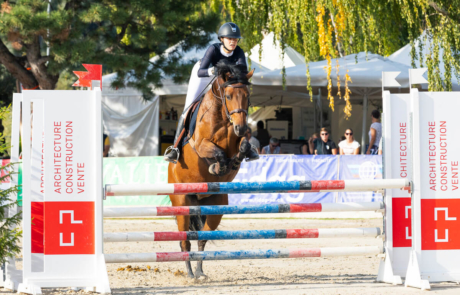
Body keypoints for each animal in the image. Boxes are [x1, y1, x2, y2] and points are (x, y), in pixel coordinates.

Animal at [168, 60, 255, 280]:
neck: (224, 117)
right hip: (182, 203)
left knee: (202, 238)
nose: (241, 127)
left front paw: (236, 159)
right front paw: (219, 165)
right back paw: (190, 274)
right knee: (184, 240)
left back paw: (199, 272)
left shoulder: (240, 137)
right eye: (228, 96)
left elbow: (242, 146)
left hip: (216, 207)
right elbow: (217, 152)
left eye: (247, 96)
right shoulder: (201, 144)